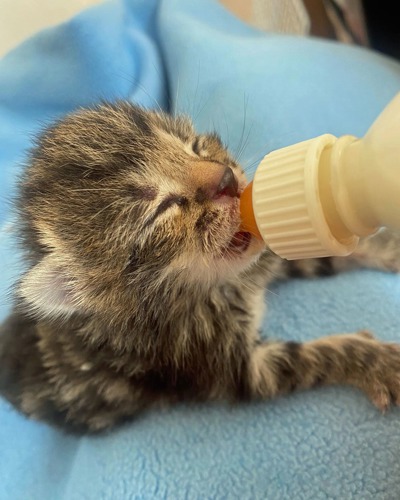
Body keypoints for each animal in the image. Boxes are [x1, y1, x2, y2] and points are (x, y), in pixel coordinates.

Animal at [0, 102, 400, 434]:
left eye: (193, 145)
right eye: (161, 208)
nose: (225, 178)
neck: (220, 288)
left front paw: (383, 248)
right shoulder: (239, 371)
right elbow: (319, 355)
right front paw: (376, 362)